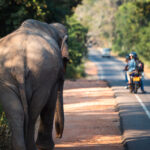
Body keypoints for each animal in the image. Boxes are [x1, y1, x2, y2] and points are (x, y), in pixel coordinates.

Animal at [0, 19, 69, 150]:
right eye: (66, 60)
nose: (58, 135)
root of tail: (18, 63)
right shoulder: (51, 77)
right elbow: (50, 102)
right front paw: (47, 146)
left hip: (6, 78)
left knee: (16, 112)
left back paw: (21, 147)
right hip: (41, 75)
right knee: (34, 110)